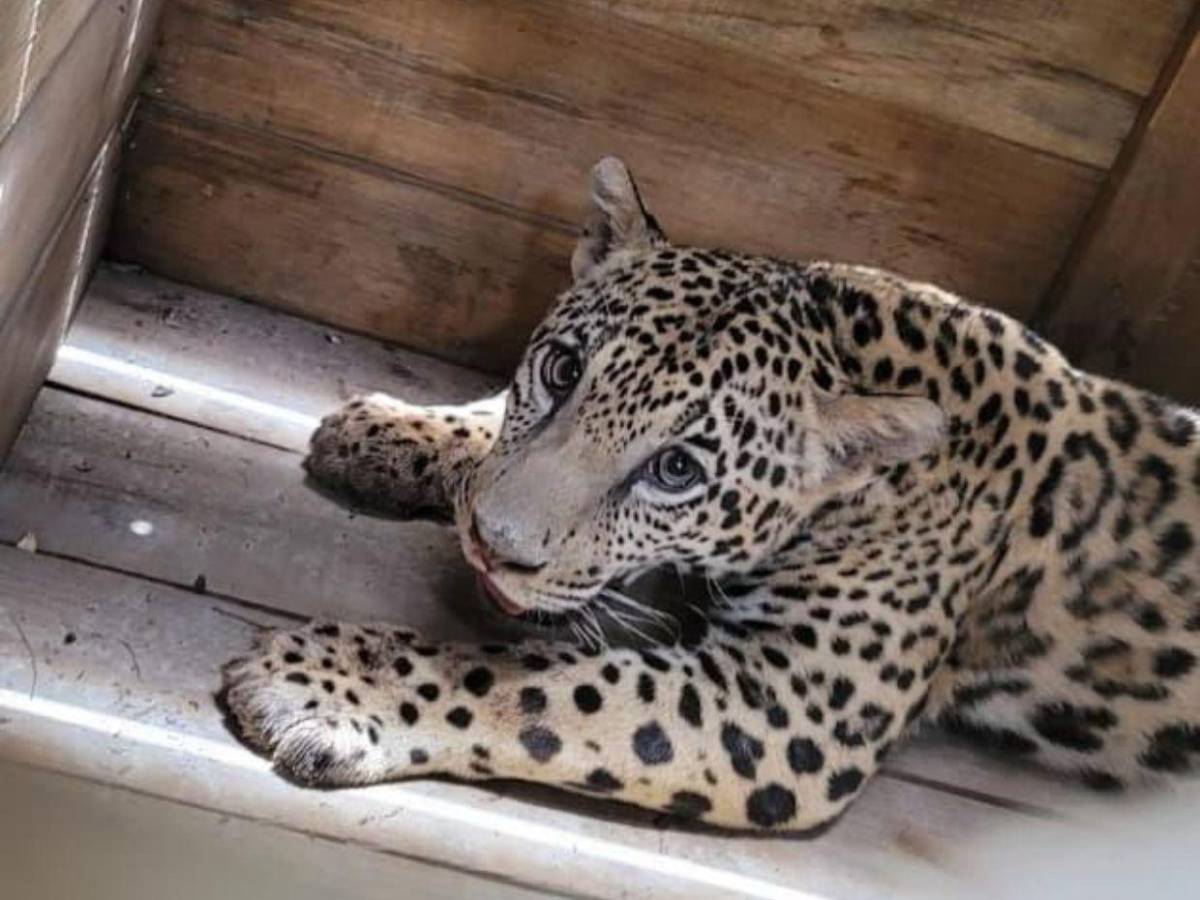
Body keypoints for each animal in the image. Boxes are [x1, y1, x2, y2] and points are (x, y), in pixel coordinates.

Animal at [222, 157, 1200, 831]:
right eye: (562, 369)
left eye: (677, 471)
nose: (493, 547)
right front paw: (391, 431)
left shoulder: (791, 704)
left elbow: (532, 685)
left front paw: (324, 685)